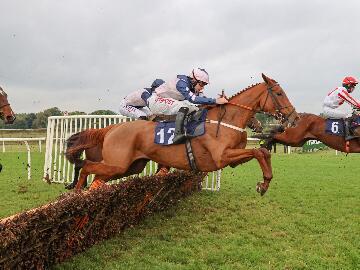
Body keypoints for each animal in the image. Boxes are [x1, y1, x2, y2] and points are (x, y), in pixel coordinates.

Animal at [66, 74, 300, 195]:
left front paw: (264, 182)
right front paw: (264, 183)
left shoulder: (232, 159)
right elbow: (260, 152)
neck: (225, 120)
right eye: (279, 93)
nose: (295, 117)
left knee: (96, 176)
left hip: (130, 166)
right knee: (86, 167)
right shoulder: (221, 157)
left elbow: (262, 152)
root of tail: (111, 129)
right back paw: (76, 193)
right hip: (118, 164)